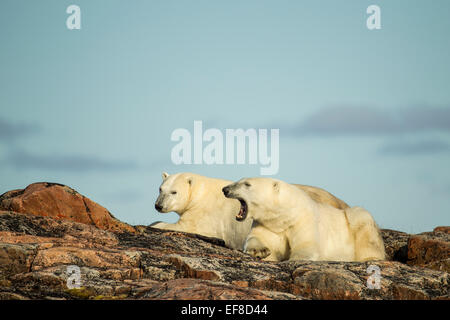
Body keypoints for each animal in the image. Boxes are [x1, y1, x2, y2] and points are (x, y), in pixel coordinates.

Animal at [153, 172, 350, 250]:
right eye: (160, 189)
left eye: (174, 192)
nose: (158, 206)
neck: (200, 193)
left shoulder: (204, 214)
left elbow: (187, 226)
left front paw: (157, 224)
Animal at [221, 176, 384, 262]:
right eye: (240, 180)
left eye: (247, 184)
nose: (225, 189)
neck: (285, 215)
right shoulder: (267, 224)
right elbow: (257, 238)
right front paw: (259, 251)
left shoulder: (304, 220)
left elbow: (307, 246)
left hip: (355, 219)